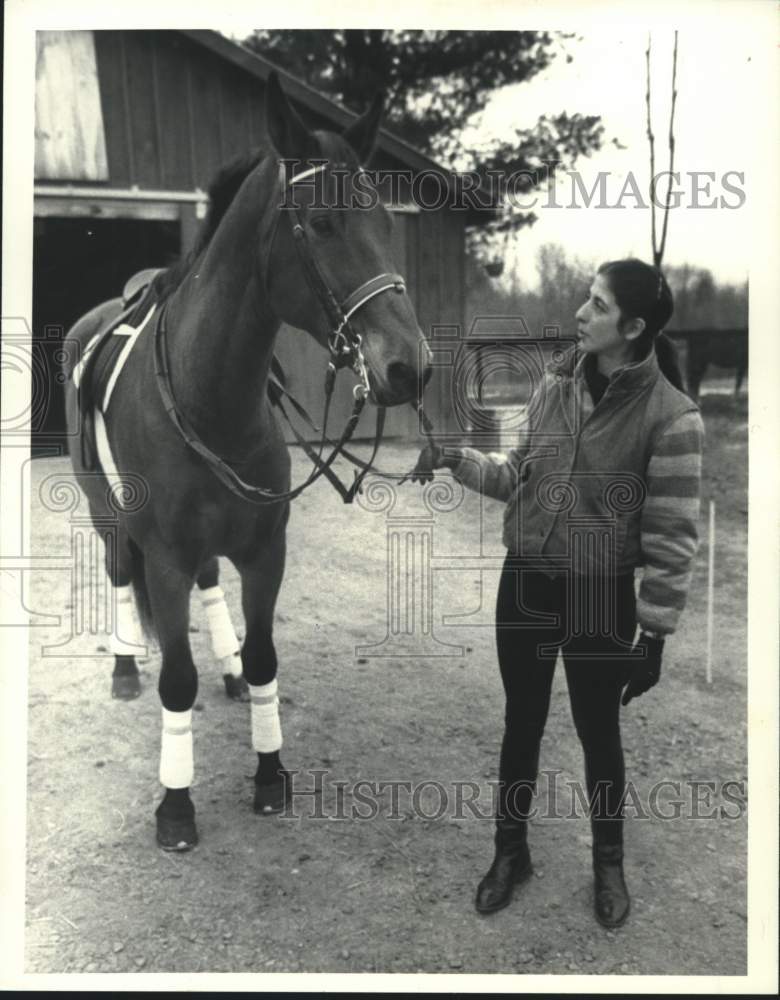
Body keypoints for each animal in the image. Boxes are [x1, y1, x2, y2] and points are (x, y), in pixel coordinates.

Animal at [61, 72, 433, 851]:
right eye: (322, 225)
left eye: (388, 223)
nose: (409, 367)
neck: (212, 398)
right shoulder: (165, 559)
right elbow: (176, 680)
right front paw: (175, 804)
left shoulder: (266, 549)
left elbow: (265, 657)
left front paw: (268, 769)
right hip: (106, 514)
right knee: (119, 576)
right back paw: (124, 666)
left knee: (210, 586)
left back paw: (226, 665)